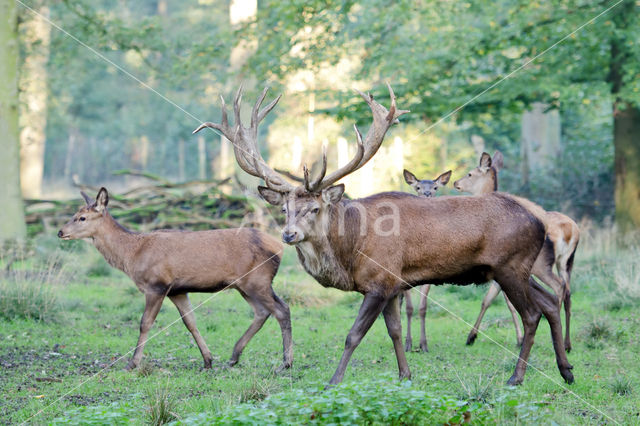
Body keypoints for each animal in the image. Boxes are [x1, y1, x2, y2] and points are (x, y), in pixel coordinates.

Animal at [57, 188, 292, 372]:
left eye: (82, 218)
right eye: (74, 214)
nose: (60, 232)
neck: (132, 255)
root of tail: (279, 248)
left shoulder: (156, 285)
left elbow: (145, 323)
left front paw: (132, 363)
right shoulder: (178, 290)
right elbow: (191, 322)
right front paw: (208, 360)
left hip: (257, 280)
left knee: (281, 309)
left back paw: (286, 362)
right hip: (245, 285)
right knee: (262, 312)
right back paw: (234, 356)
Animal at [402, 168, 452, 352]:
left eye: (436, 187)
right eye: (417, 187)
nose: (427, 193)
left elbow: (423, 308)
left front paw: (423, 344)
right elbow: (409, 308)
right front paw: (407, 344)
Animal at [456, 151, 580, 352]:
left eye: (470, 174)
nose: (455, 183)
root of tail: (571, 230)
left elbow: (497, 301)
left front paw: (473, 336)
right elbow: (490, 299)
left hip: (542, 265)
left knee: (558, 287)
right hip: (566, 262)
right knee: (568, 291)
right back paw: (567, 343)